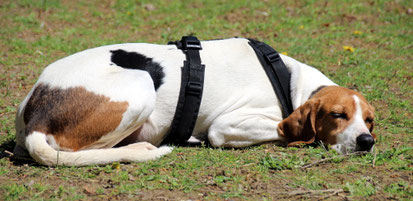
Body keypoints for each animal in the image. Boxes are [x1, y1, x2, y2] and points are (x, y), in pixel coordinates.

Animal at [12, 37, 374, 166]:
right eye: (337, 114)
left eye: (370, 120)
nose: (366, 141)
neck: (292, 81)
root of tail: (37, 116)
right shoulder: (224, 127)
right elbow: (283, 128)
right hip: (141, 86)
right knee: (78, 150)